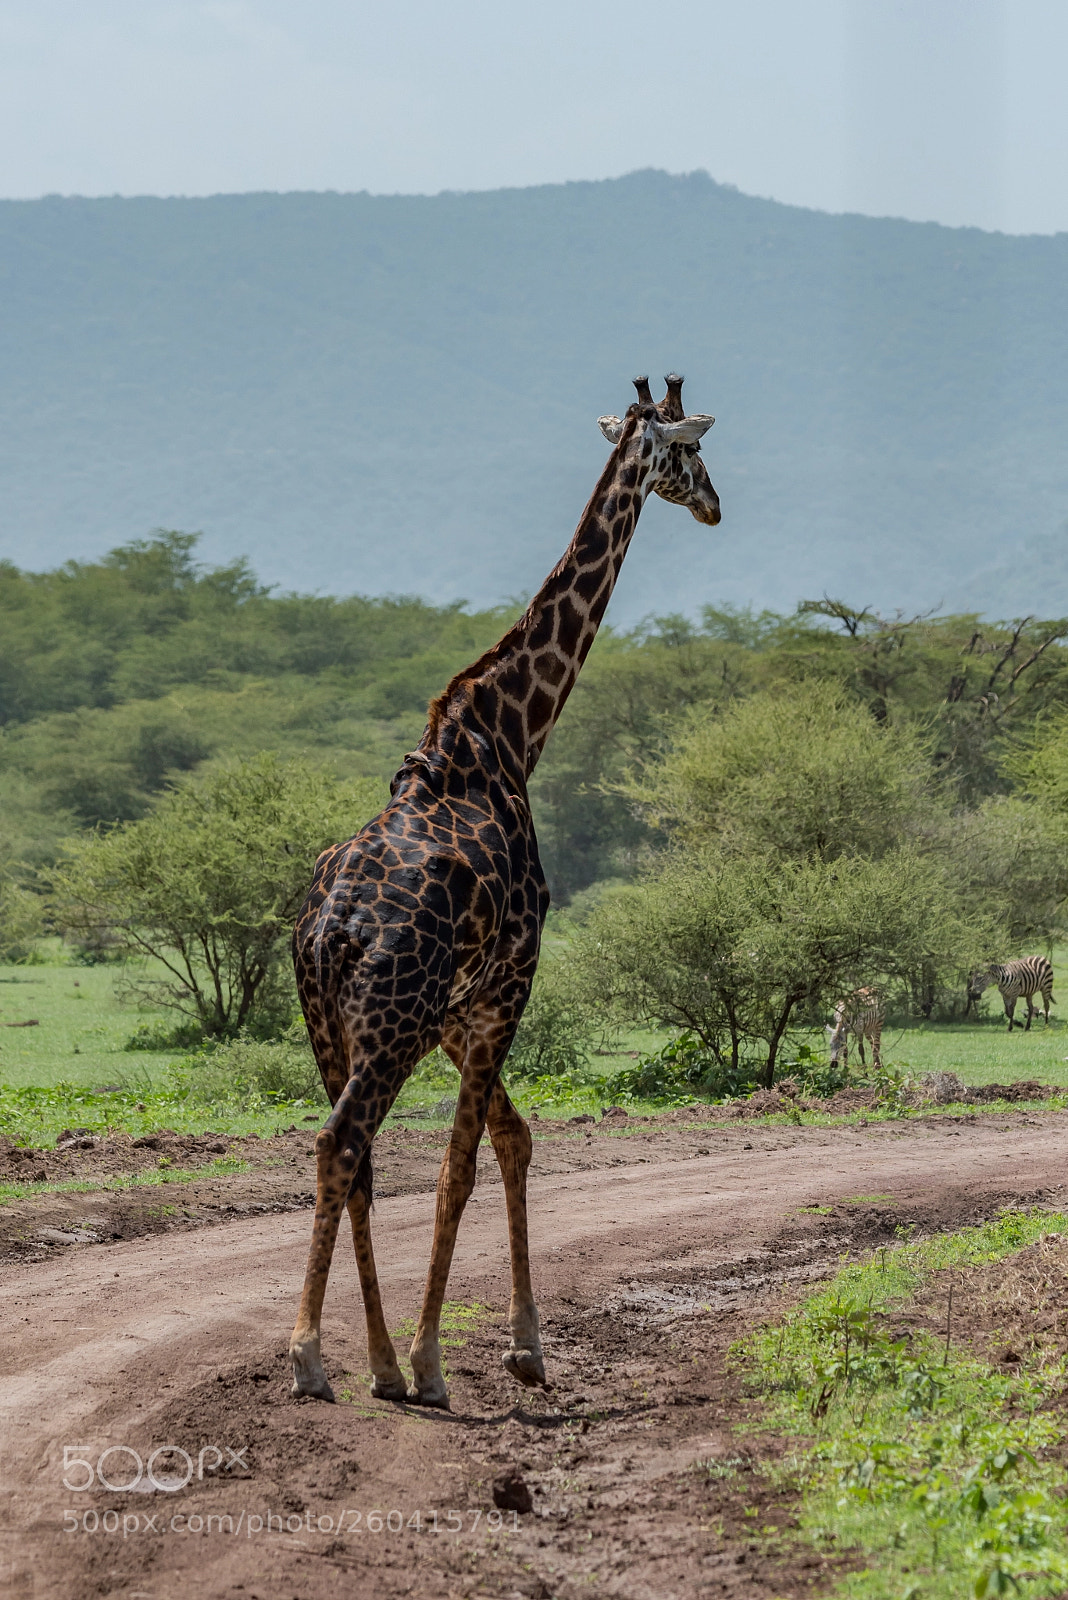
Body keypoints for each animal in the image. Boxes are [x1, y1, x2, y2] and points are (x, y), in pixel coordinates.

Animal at [289, 374, 720, 1408]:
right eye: (690, 451)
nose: (717, 506)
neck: (511, 736)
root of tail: (332, 927)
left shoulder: (460, 1006)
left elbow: (510, 1140)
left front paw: (516, 1347)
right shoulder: (507, 982)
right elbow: (459, 1167)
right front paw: (435, 1361)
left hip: (332, 1021)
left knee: (356, 1161)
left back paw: (368, 1360)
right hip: (389, 1022)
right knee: (342, 1144)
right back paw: (314, 1356)